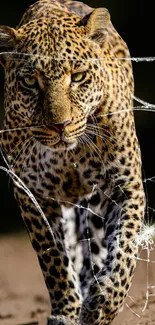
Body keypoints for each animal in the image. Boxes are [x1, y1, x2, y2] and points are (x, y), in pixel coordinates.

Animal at [0, 0, 145, 324]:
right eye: (30, 82)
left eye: (77, 77)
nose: (60, 126)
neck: (70, 154)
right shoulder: (30, 192)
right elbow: (53, 257)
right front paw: (66, 311)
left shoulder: (126, 185)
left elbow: (125, 249)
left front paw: (104, 303)